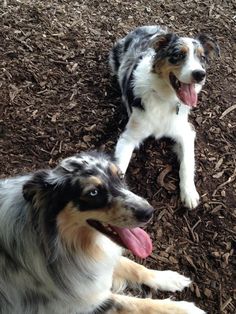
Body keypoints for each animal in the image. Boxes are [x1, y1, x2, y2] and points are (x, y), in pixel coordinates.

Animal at [0, 151, 205, 312]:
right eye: (93, 193)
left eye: (120, 176)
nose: (149, 212)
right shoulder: (85, 303)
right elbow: (139, 304)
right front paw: (185, 309)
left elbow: (134, 266)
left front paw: (169, 278)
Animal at [109, 25, 219, 209]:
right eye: (178, 55)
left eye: (202, 57)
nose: (200, 74)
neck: (164, 98)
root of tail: (145, 27)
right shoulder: (129, 136)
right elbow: (119, 168)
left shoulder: (186, 132)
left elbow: (187, 163)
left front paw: (189, 194)